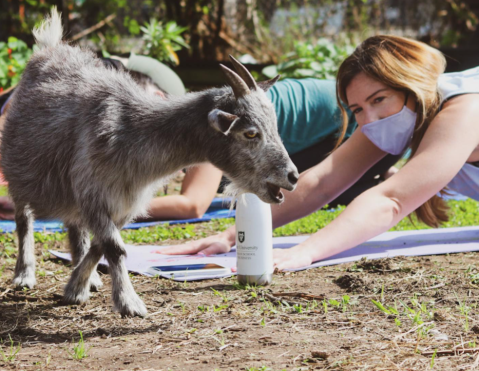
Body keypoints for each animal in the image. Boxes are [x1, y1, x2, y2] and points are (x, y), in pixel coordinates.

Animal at [1, 8, 298, 316]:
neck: (130, 129)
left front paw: (76, 287)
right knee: (24, 219)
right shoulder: (94, 192)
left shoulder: (125, 202)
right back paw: (24, 274)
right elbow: (115, 247)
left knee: (75, 226)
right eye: (250, 132)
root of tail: (49, 47)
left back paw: (89, 279)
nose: (293, 176)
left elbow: (101, 244)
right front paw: (128, 302)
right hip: (18, 172)